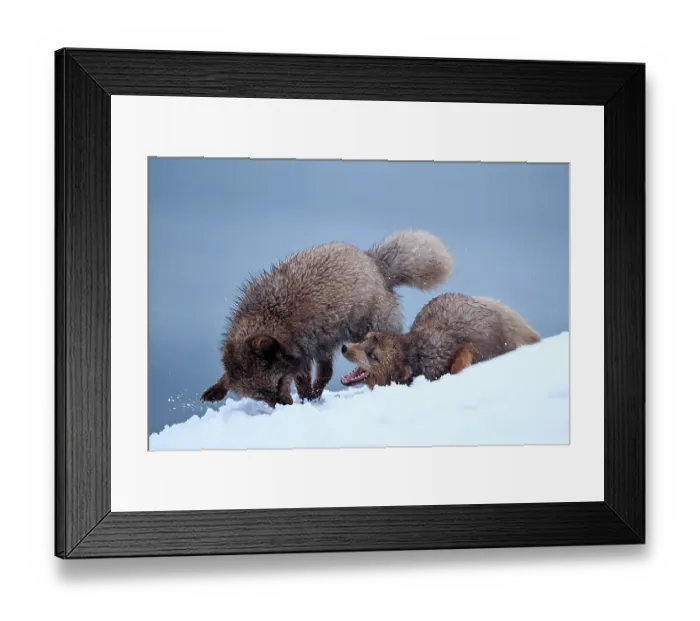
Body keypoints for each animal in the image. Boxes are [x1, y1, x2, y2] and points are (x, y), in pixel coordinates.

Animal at [200, 230, 454, 408]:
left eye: (279, 382)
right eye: (262, 397)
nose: (285, 407)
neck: (270, 315)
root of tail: (374, 262)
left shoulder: (301, 355)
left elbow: (303, 381)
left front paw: (304, 400)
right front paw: (218, 387)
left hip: (364, 331)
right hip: (326, 343)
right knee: (326, 374)